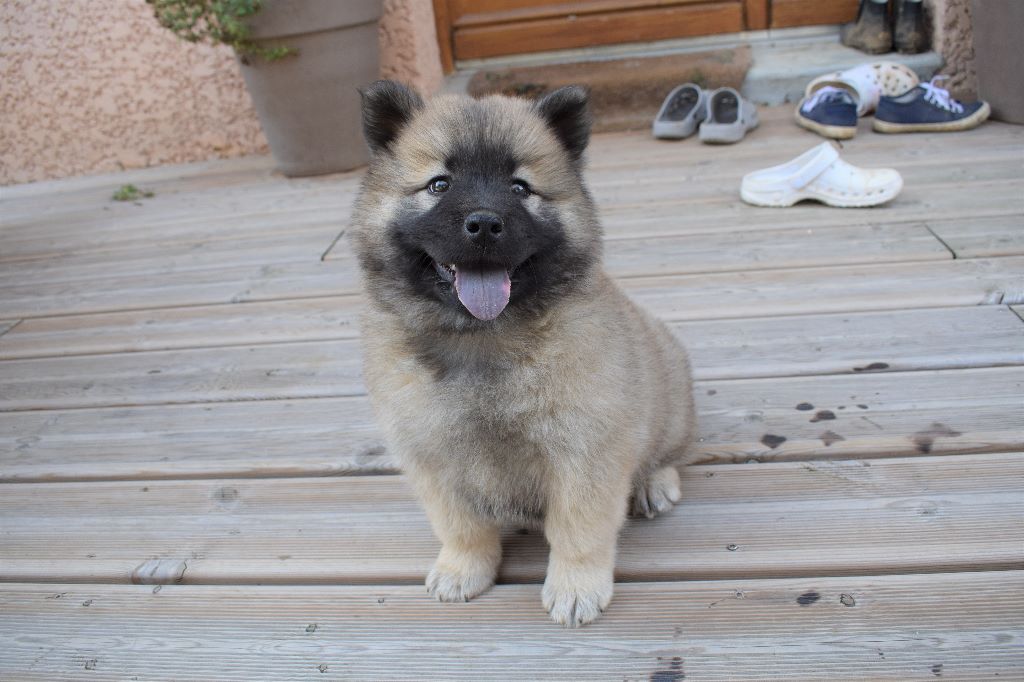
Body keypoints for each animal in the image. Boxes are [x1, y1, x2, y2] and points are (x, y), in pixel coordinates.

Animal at [351, 80, 696, 626]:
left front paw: (576, 587)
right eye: (439, 185)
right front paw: (463, 568)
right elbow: (461, 526)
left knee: (666, 453)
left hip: (671, 397)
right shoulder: (431, 456)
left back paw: (653, 483)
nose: (484, 223)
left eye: (519, 188)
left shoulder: (585, 454)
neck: (484, 338)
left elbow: (579, 531)